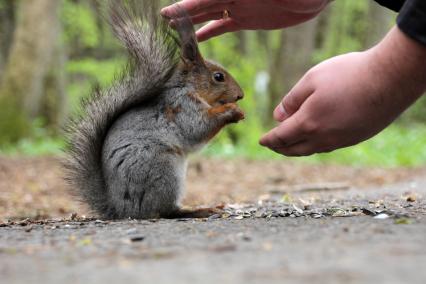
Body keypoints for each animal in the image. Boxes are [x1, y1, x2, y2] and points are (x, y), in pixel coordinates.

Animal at [62, 0, 243, 220]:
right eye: (218, 77)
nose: (240, 95)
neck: (188, 87)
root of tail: (122, 210)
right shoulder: (181, 107)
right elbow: (197, 128)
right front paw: (232, 110)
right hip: (162, 171)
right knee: (165, 211)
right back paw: (198, 210)